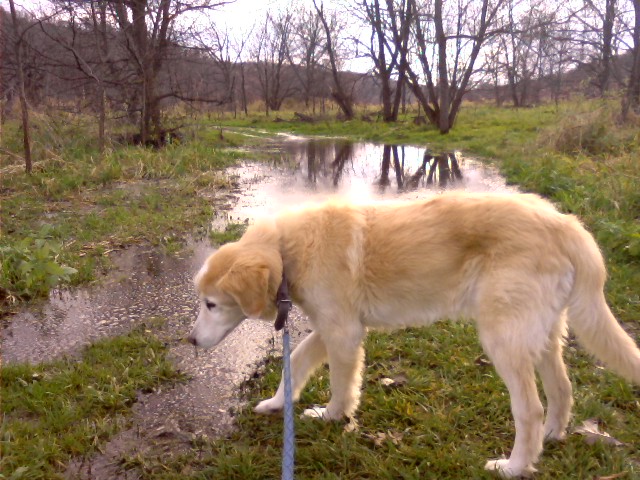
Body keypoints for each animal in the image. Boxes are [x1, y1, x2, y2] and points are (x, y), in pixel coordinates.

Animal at [189, 191, 640, 476]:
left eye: (211, 304)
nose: (191, 342)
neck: (291, 249)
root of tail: (565, 223)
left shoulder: (343, 332)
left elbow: (340, 383)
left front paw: (335, 417)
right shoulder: (333, 327)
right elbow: (297, 361)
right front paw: (276, 403)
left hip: (503, 338)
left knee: (529, 409)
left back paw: (514, 467)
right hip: (542, 334)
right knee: (562, 388)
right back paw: (551, 439)